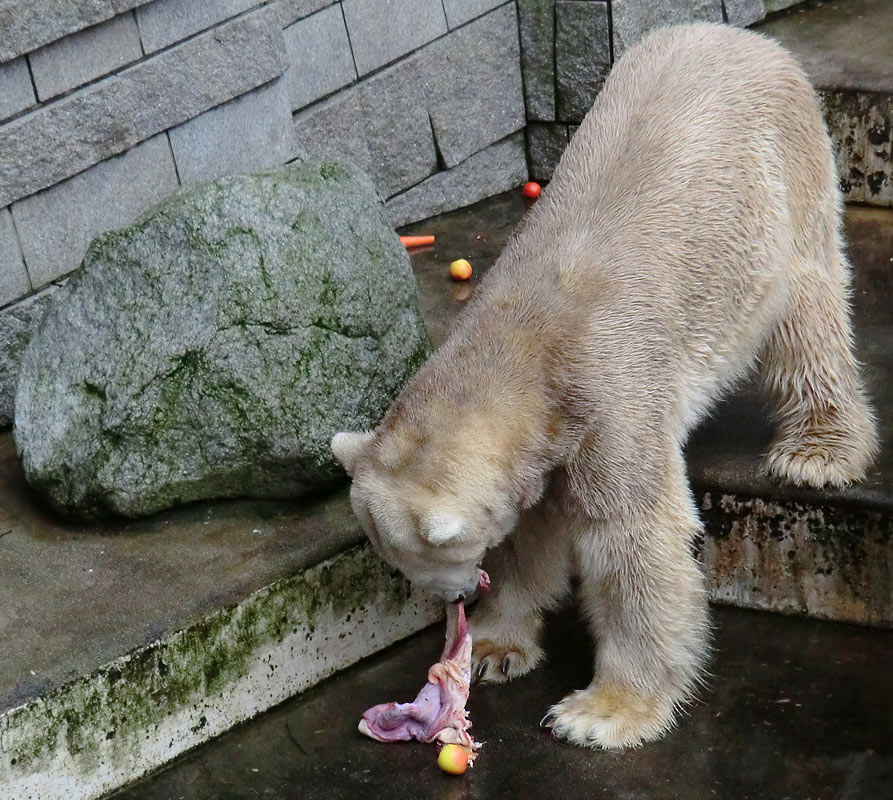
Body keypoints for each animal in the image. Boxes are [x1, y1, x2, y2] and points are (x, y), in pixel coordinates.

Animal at [330, 23, 880, 752]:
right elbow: (531, 528)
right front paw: (496, 647)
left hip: (780, 183)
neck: (520, 346)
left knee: (806, 314)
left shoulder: (607, 397)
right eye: (398, 563)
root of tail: (740, 36)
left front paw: (602, 712)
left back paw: (816, 450)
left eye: (425, 558)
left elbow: (632, 538)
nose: (456, 600)